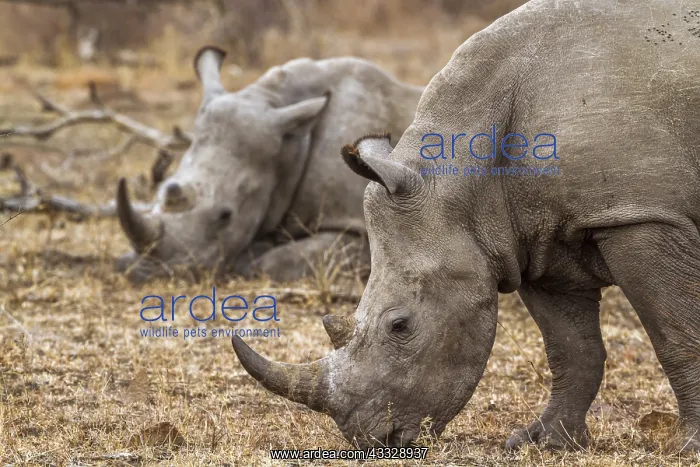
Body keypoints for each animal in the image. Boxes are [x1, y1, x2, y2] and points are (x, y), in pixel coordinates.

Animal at [231, 0, 700, 451]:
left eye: (400, 326)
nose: (372, 440)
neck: (459, 176)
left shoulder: (640, 215)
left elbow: (675, 334)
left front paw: (687, 446)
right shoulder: (533, 238)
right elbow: (571, 348)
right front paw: (546, 442)